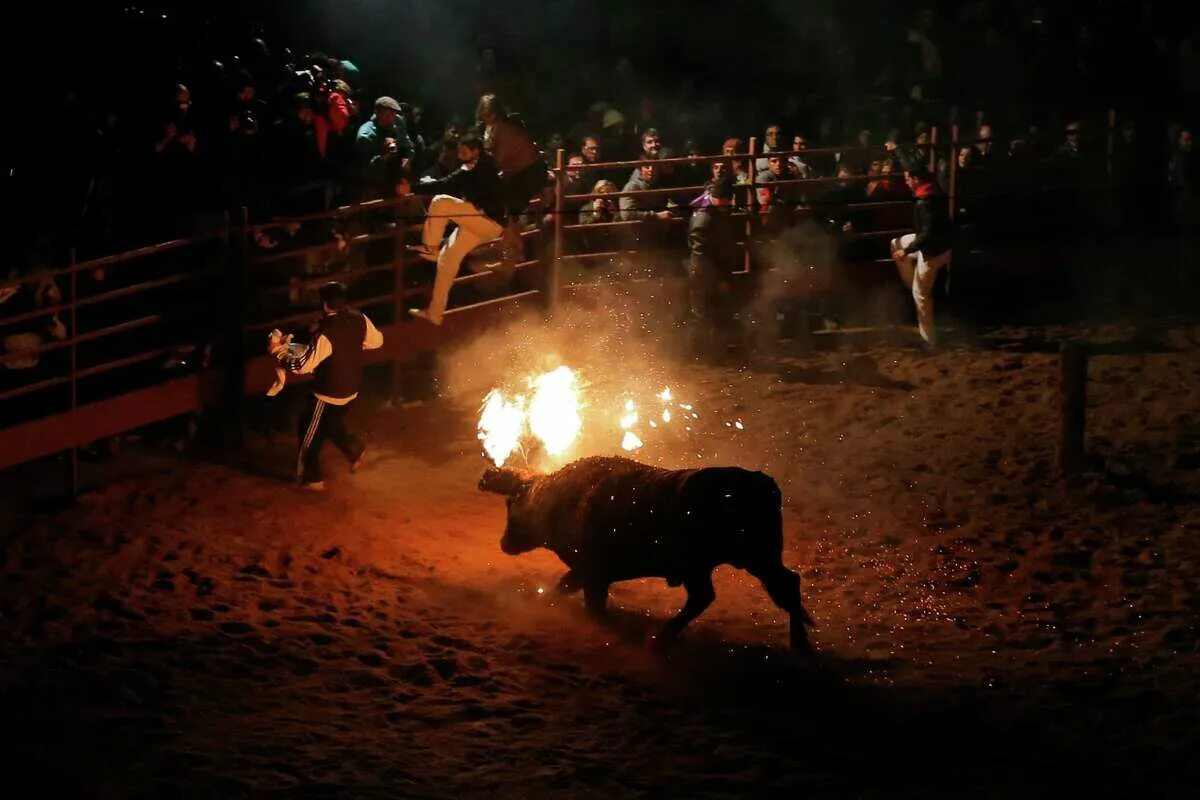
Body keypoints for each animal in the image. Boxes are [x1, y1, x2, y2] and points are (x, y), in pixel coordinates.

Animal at [477, 455, 816, 652]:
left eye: (511, 504)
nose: (503, 543)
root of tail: (762, 483)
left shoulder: (593, 572)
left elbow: (586, 598)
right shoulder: (589, 573)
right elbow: (565, 586)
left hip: (752, 559)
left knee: (779, 587)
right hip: (731, 565)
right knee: (764, 587)